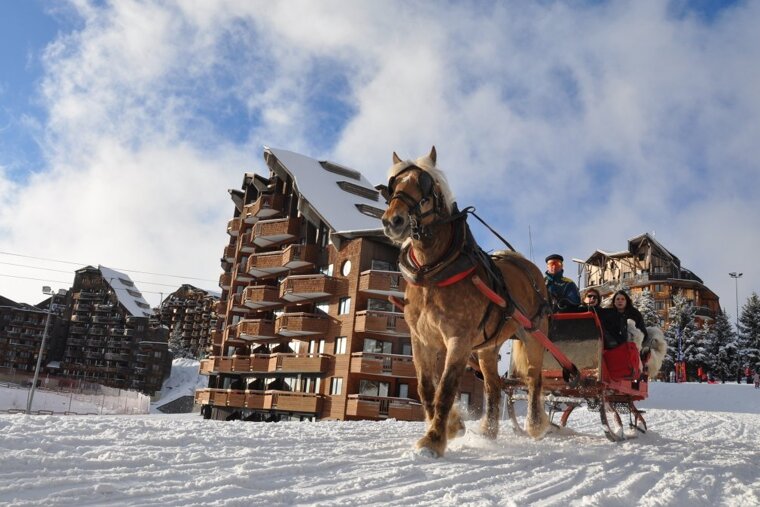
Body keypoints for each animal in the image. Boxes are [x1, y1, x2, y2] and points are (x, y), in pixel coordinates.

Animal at [380, 147, 550, 457]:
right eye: (393, 185)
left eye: (426, 184)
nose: (392, 221)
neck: (434, 272)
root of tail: (526, 264)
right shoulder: (421, 340)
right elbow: (426, 388)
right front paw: (452, 426)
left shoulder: (458, 340)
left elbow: (446, 388)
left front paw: (433, 440)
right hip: (487, 347)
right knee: (494, 385)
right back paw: (489, 431)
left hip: (534, 333)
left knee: (534, 378)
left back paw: (534, 425)